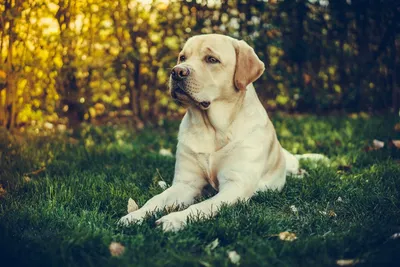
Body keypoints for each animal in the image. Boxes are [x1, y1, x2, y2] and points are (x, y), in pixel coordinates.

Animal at [119, 34, 306, 232]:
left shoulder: (235, 186)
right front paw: (135, 215)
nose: (177, 72)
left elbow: (202, 206)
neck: (212, 129)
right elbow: (157, 199)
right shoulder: (187, 183)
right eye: (182, 58)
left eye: (211, 59)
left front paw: (174, 219)